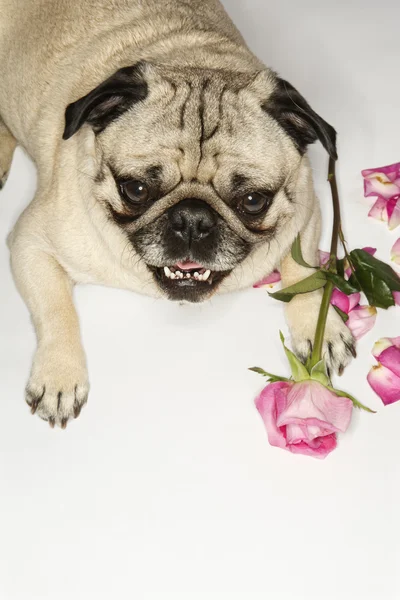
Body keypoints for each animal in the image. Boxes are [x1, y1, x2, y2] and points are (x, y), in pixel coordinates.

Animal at [0, 0, 356, 426]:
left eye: (254, 200)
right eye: (136, 189)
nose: (192, 219)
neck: (193, 58)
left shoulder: (306, 212)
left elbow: (304, 273)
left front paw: (320, 326)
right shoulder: (31, 243)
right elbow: (56, 312)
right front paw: (59, 375)